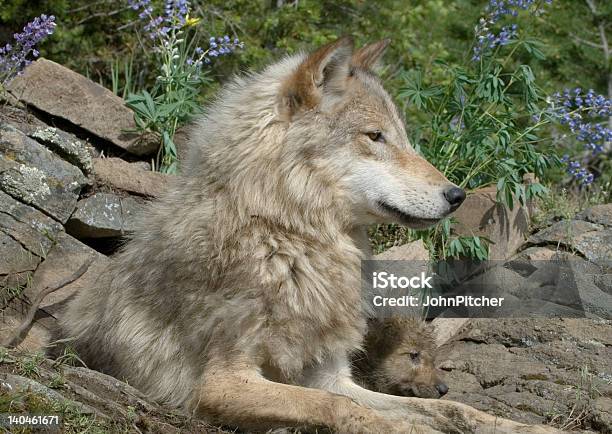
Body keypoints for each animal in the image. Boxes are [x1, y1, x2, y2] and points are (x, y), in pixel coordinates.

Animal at [61, 39, 556, 432]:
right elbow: (344, 409)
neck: (287, 240)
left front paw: (526, 428)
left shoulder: (331, 374)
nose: (457, 195)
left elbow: (451, 409)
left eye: (402, 137)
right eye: (375, 136)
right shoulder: (221, 383)